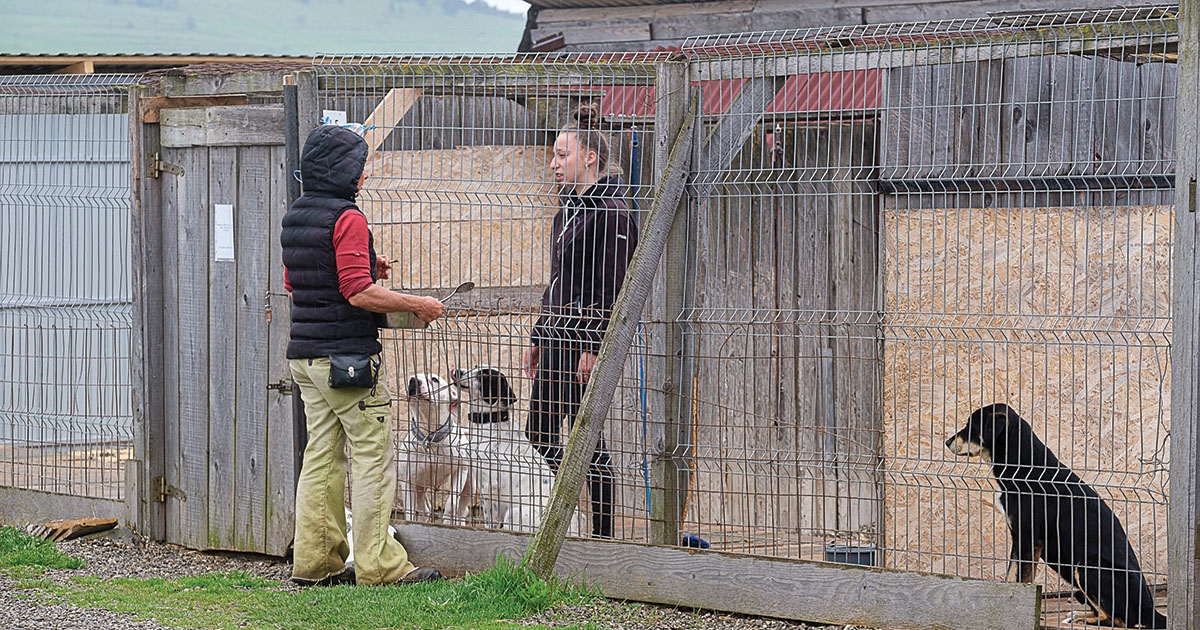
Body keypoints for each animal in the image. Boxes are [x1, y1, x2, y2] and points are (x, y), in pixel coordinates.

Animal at [393, 372, 468, 523]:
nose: (413, 381)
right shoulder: (408, 481)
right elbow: (410, 510)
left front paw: (447, 520)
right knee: (425, 509)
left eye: (434, 379)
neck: (430, 438)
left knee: (463, 510)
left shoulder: (460, 471)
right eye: (411, 377)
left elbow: (452, 503)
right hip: (420, 486)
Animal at [448, 362, 583, 535]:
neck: (491, 421)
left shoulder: (489, 486)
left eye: (483, 375)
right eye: (475, 366)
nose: (458, 371)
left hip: (514, 512)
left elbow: (490, 521)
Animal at [945, 405, 1161, 624]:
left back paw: (1079, 618)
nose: (947, 442)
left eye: (971, 426)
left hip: (1088, 565)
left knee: (1116, 619)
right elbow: (1011, 577)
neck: (1024, 466)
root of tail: (1150, 611)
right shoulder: (1019, 539)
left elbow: (1023, 579)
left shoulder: (1029, 539)